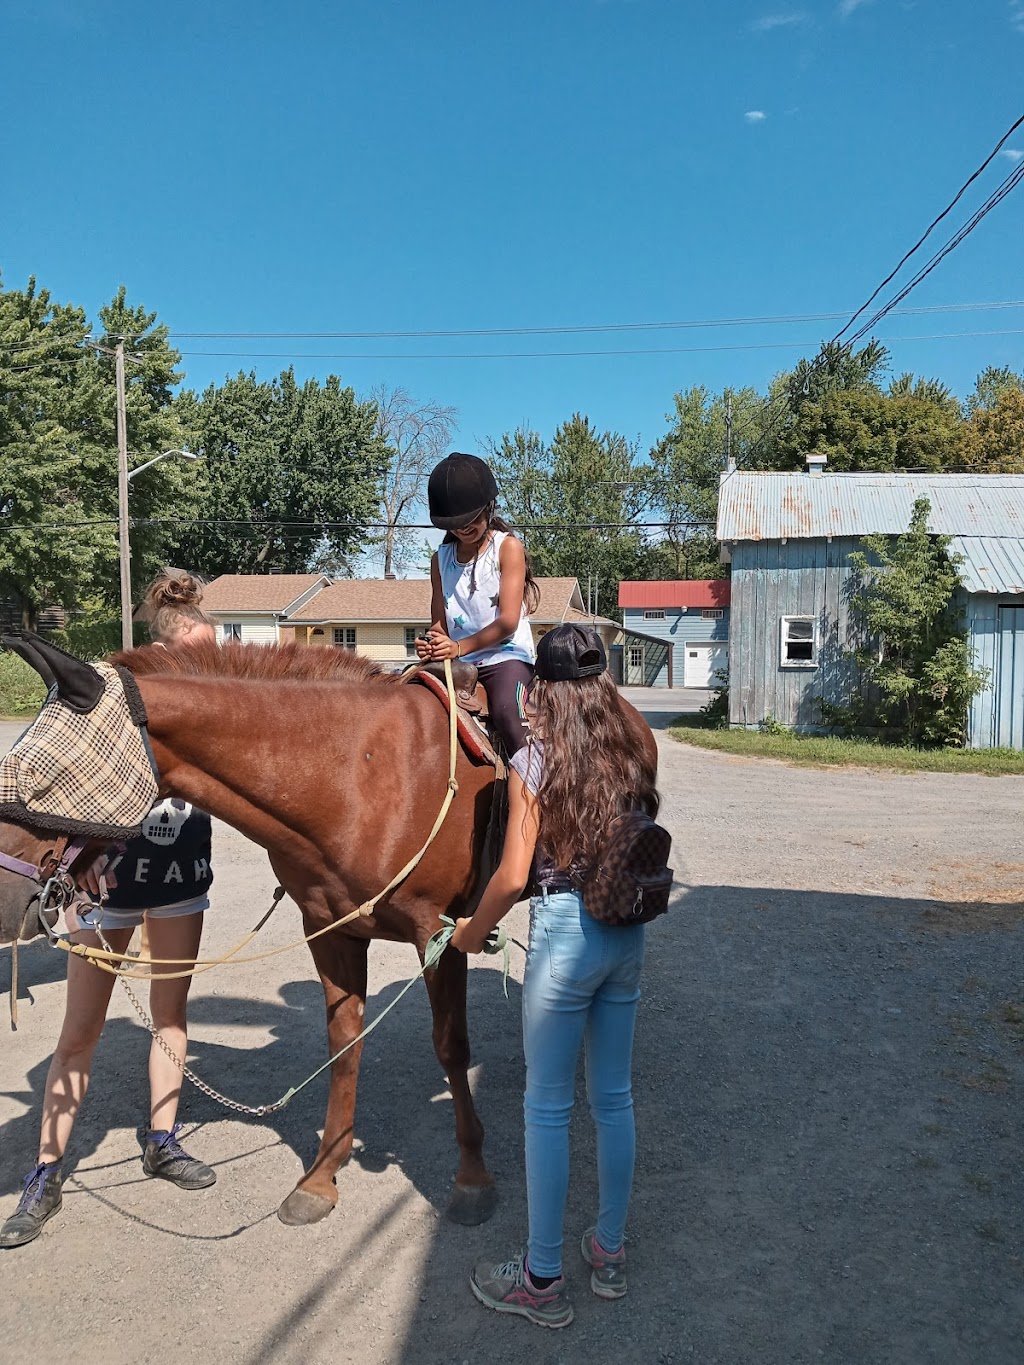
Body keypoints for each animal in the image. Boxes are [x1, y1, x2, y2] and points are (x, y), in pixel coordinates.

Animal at [0, 638, 658, 1228]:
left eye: (41, 777)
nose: (8, 902)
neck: (355, 777)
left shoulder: (439, 933)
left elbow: (451, 1046)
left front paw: (472, 1177)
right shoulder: (329, 930)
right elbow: (344, 1045)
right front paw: (321, 1176)